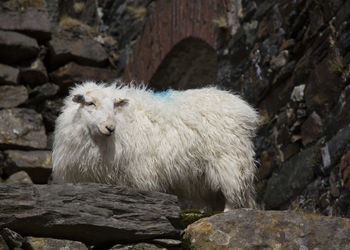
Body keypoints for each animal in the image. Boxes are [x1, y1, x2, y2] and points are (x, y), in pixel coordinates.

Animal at [52, 81, 260, 211]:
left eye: (114, 106)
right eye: (90, 103)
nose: (110, 127)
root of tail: (244, 109)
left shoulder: (140, 173)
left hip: (229, 160)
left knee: (233, 193)